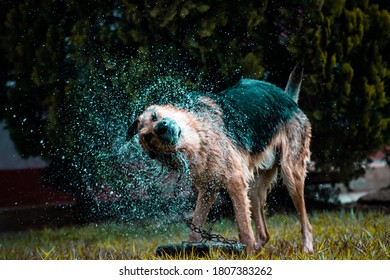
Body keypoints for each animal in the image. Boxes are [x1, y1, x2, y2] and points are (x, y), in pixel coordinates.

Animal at [127, 65, 314, 254]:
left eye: (154, 116)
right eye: (149, 138)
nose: (162, 127)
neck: (198, 139)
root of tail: (288, 99)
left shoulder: (235, 181)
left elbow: (244, 230)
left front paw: (245, 254)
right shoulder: (208, 189)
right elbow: (196, 227)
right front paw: (190, 252)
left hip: (291, 175)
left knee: (306, 224)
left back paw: (306, 248)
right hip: (253, 188)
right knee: (264, 234)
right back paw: (257, 252)